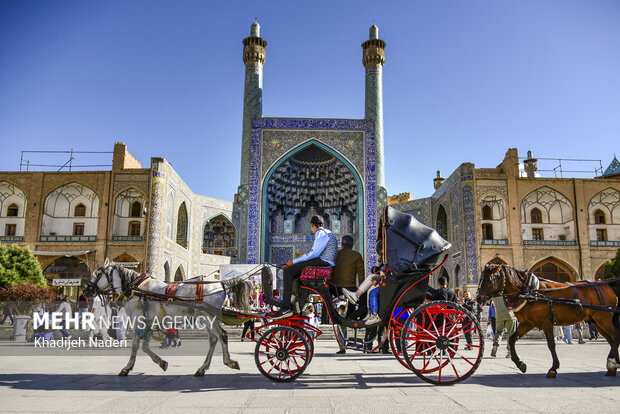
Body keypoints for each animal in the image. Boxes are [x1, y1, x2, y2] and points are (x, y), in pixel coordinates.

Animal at [83, 260, 253, 376]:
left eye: (97, 274)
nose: (86, 290)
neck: (136, 288)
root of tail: (222, 285)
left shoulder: (138, 318)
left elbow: (136, 345)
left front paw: (126, 368)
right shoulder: (149, 320)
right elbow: (144, 345)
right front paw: (162, 362)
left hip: (208, 315)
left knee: (222, 335)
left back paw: (229, 362)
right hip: (206, 316)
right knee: (214, 338)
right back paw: (202, 368)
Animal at [478, 266, 616, 378]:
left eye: (489, 279)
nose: (478, 297)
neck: (528, 291)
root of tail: (608, 287)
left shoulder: (546, 322)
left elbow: (551, 344)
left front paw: (553, 369)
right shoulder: (527, 323)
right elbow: (512, 339)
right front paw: (521, 364)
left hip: (603, 316)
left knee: (614, 336)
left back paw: (612, 364)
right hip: (596, 320)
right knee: (611, 338)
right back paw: (612, 366)